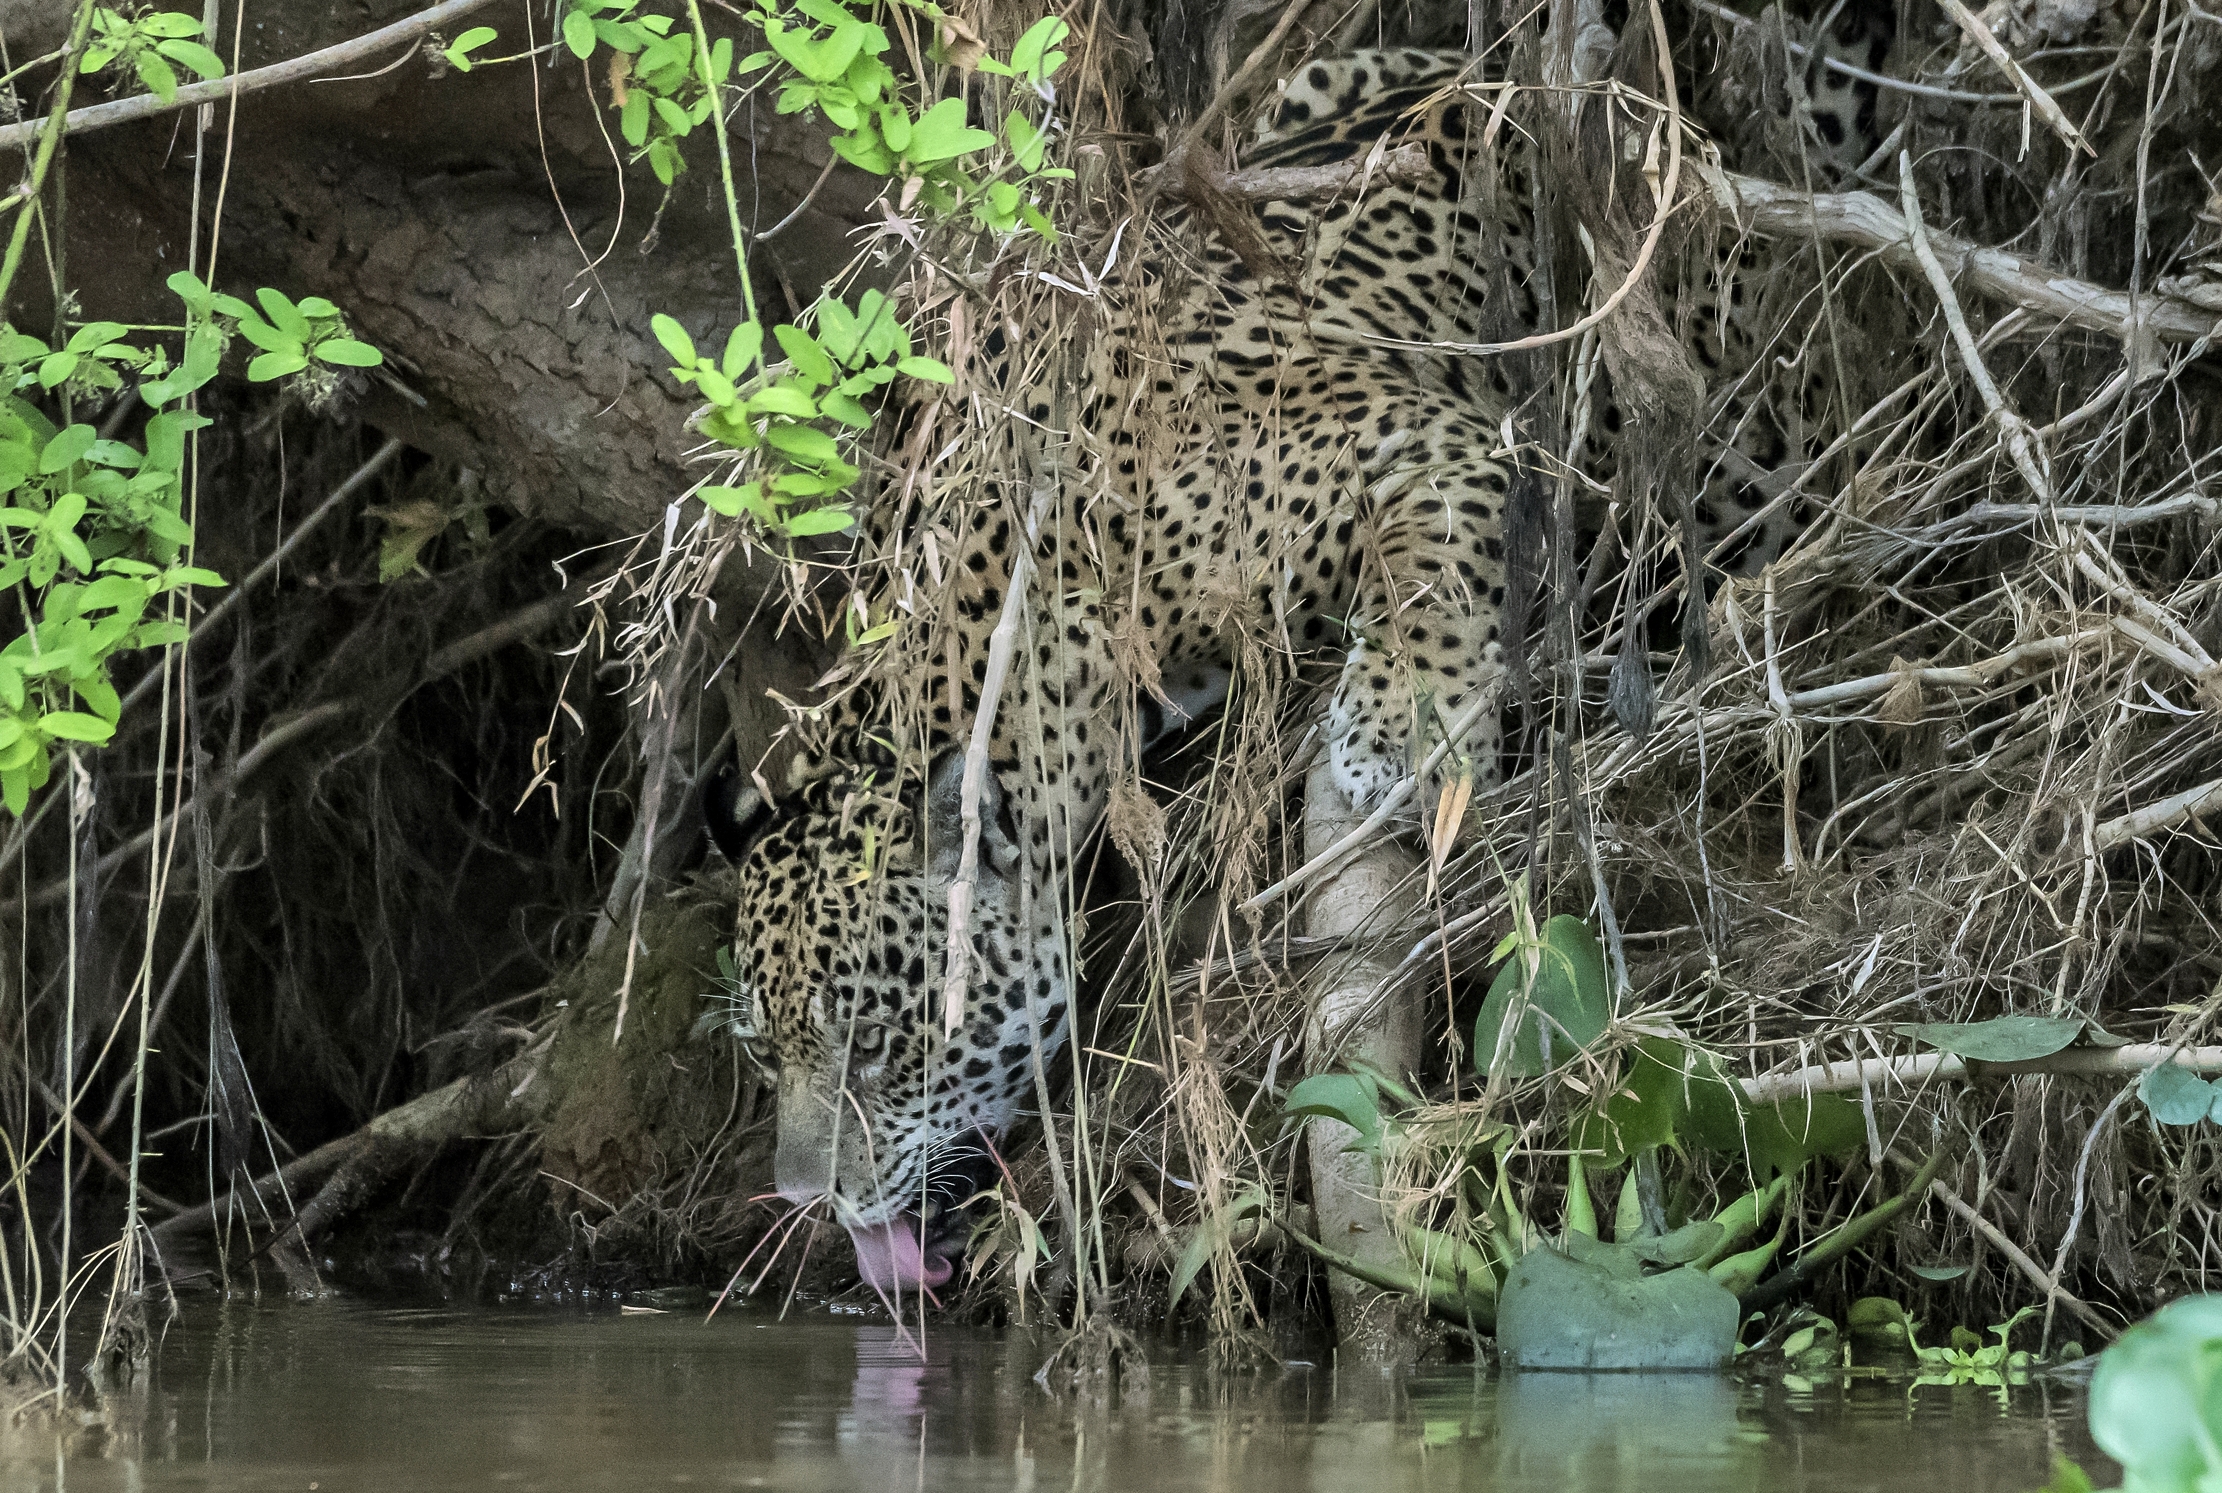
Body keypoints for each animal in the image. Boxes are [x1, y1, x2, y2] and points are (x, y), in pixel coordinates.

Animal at [707, 31, 1892, 1297]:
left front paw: (1393, 731)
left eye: (876, 1045)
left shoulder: (1430, 447)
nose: (806, 1200)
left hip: (1722, 424)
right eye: (764, 1052)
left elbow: (1426, 585)